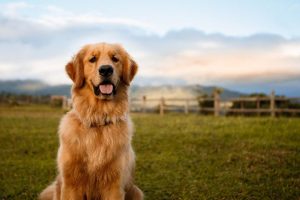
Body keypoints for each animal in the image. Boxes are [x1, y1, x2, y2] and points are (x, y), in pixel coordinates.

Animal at [38, 43, 143, 199]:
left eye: (115, 58)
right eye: (92, 59)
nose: (106, 70)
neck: (98, 119)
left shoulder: (115, 184)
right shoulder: (71, 183)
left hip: (136, 191)